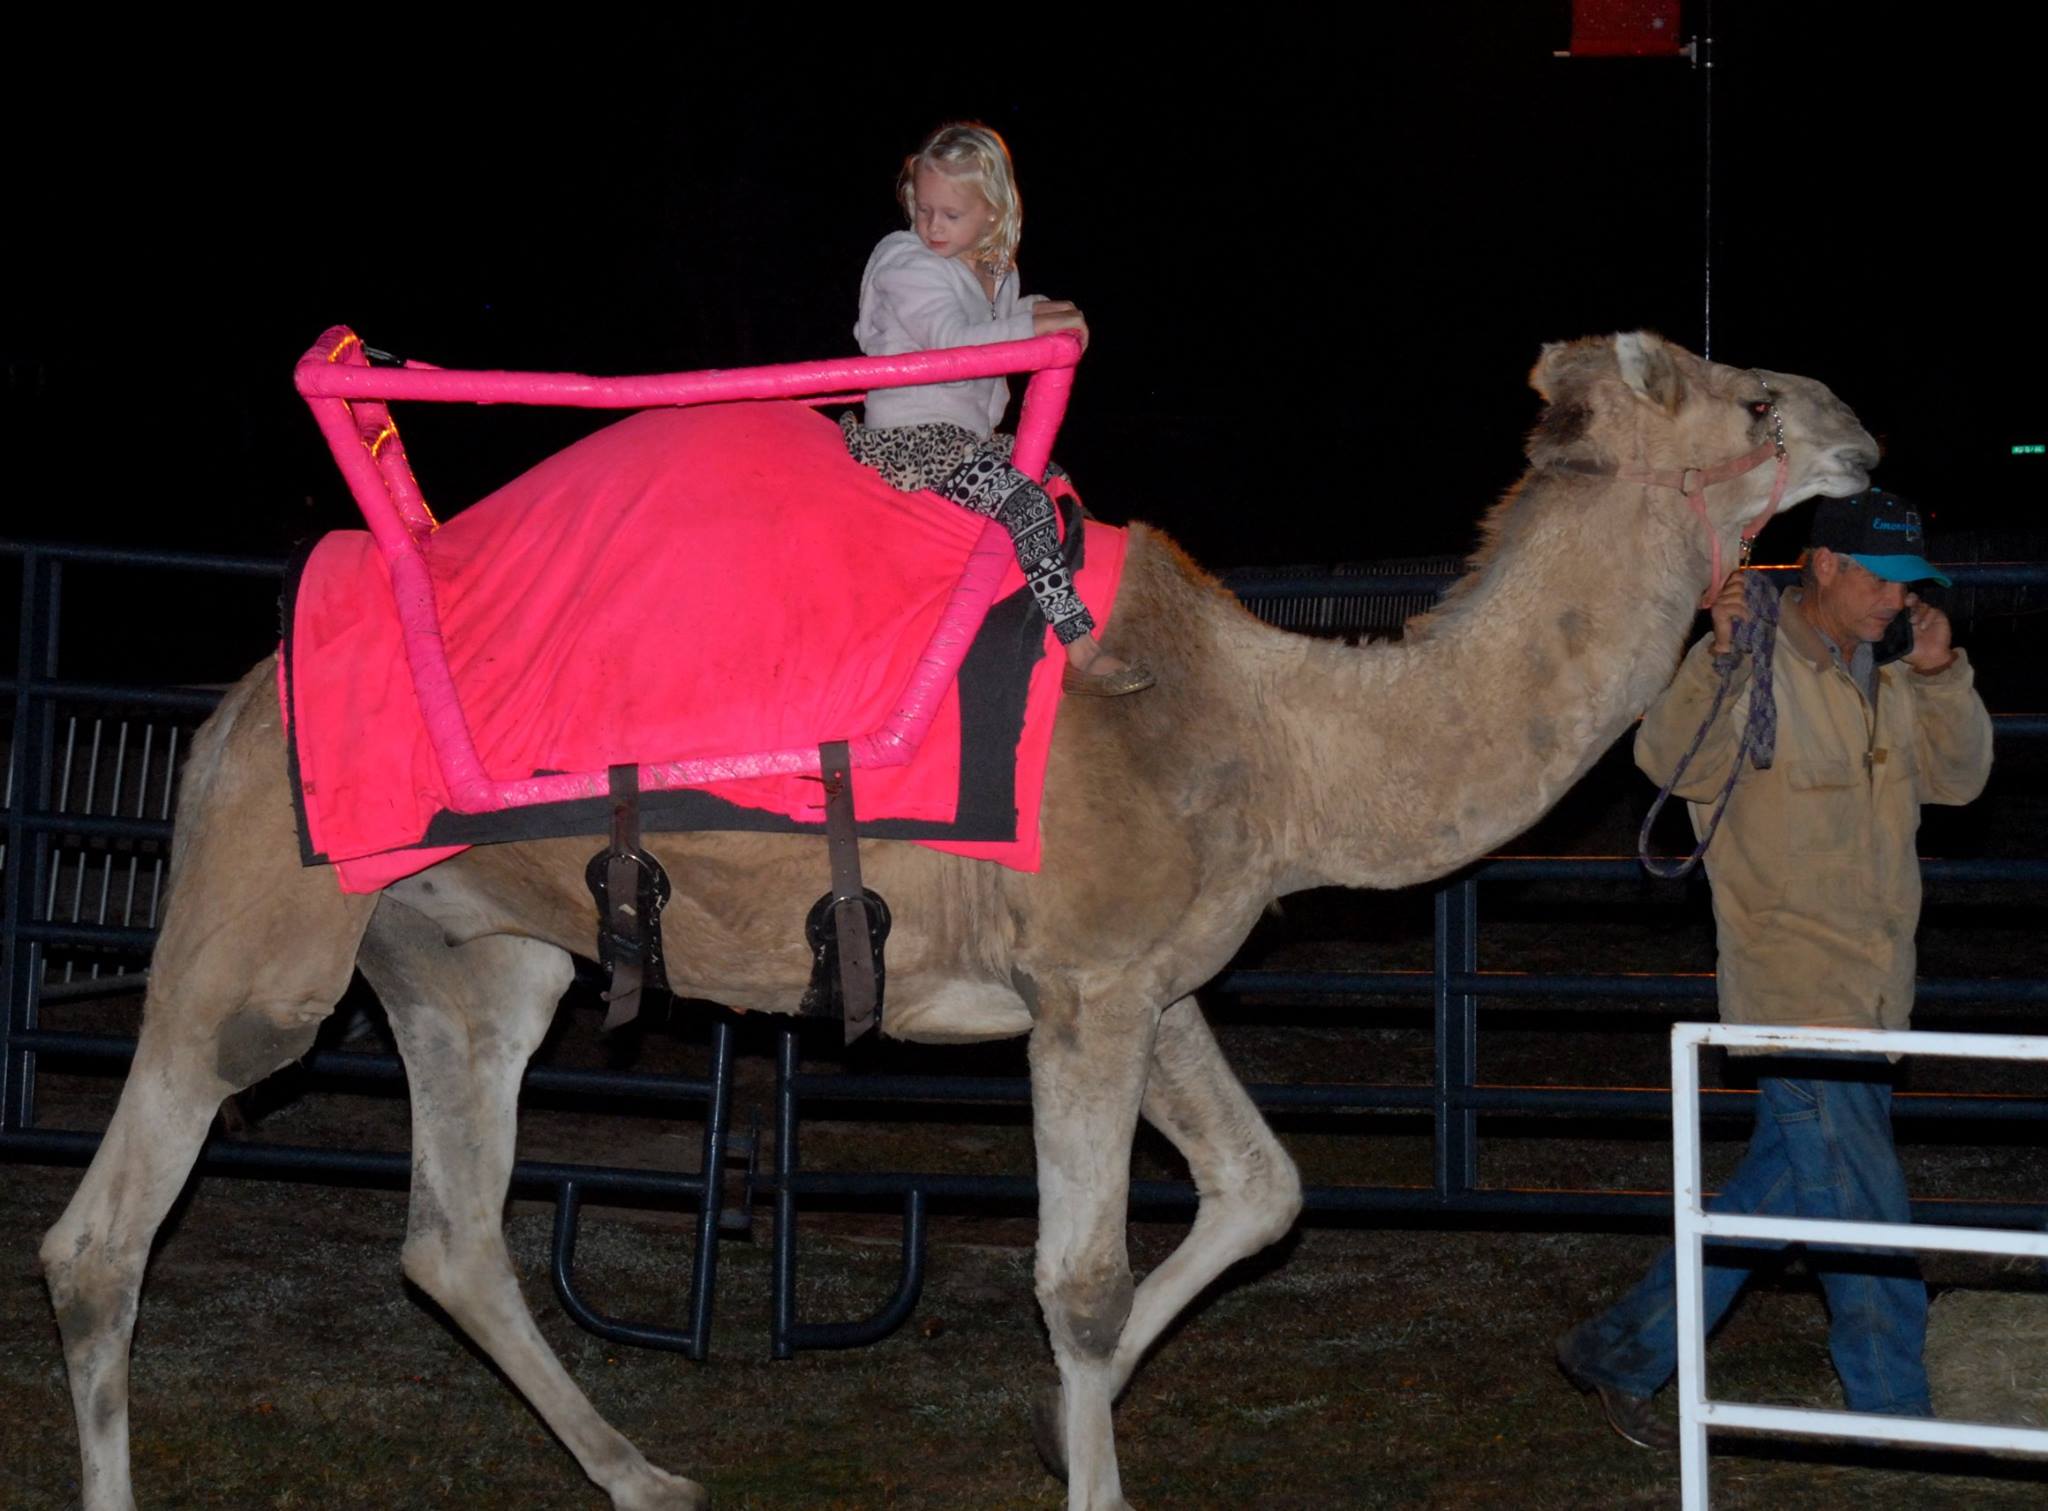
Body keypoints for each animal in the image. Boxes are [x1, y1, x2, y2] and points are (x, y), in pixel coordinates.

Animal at [42, 331, 1877, 1510]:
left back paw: (646, 1471)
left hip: (470, 954)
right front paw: (1089, 1467)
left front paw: (1063, 1435)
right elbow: (1080, 1276)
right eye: (1751, 395)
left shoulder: (1146, 982)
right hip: (261, 926)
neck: (1274, 736)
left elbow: (1262, 1192)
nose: (1862, 436)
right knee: (100, 1237)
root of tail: (226, 714)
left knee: (450, 1226)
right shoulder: (1087, 982)